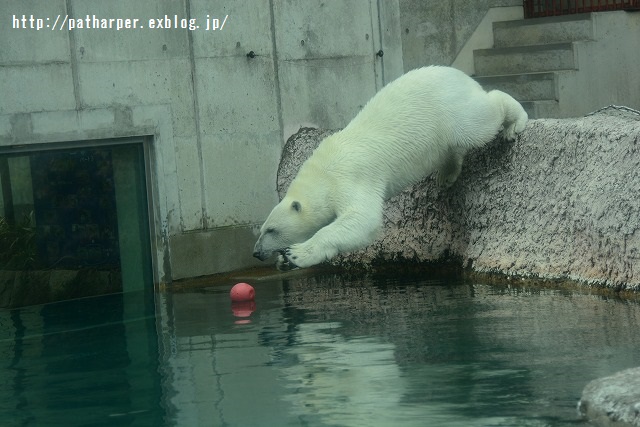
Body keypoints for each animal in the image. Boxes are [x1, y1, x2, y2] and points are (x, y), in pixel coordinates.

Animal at [252, 65, 528, 270]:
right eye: (263, 228)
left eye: (272, 230)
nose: (256, 252)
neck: (322, 172)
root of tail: (460, 76)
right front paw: (283, 261)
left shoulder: (350, 177)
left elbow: (362, 219)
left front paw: (297, 254)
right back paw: (447, 174)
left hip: (451, 111)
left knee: (481, 121)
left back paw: (515, 123)